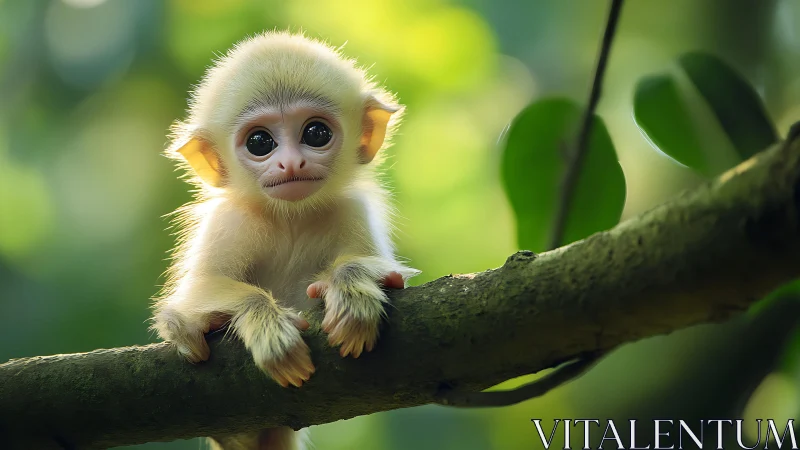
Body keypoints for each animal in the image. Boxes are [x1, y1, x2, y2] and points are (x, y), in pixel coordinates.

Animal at [150, 32, 419, 450]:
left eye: (316, 133)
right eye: (260, 142)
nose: (291, 164)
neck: (290, 219)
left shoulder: (352, 210)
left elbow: (373, 268)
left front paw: (352, 289)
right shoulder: (231, 222)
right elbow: (200, 287)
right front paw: (268, 327)